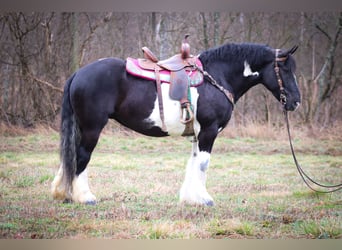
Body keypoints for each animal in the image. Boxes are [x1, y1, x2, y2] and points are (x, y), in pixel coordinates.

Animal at [50, 43, 300, 206]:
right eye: (285, 69)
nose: (296, 102)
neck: (217, 76)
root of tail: (78, 74)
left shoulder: (198, 135)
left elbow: (194, 163)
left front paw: (191, 198)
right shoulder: (209, 131)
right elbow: (203, 164)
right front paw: (205, 199)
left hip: (81, 128)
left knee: (70, 156)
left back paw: (64, 193)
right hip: (92, 128)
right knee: (82, 156)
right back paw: (85, 197)